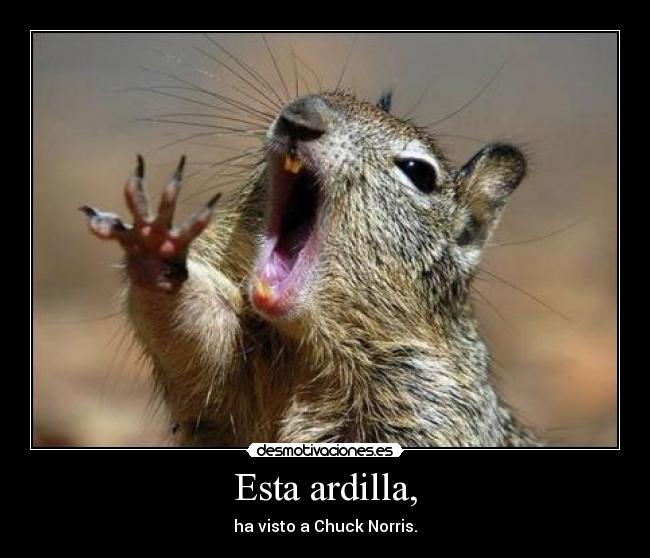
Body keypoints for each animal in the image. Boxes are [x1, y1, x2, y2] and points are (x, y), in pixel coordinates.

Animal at [81, 88, 542, 447]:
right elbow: (201, 338)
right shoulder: (226, 386)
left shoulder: (427, 401)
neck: (302, 348)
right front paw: (155, 250)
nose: (299, 116)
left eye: (419, 173)